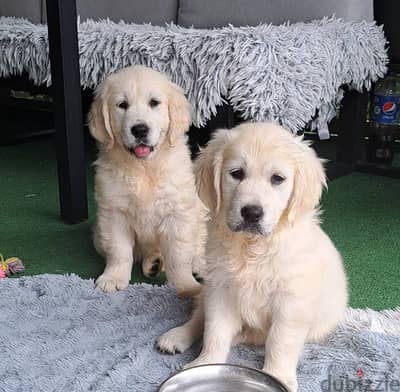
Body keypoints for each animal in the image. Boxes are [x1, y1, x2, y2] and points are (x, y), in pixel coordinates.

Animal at [89, 66, 205, 296]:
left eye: (154, 102)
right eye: (122, 105)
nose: (140, 129)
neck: (144, 169)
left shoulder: (177, 213)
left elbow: (179, 257)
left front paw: (186, 286)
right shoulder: (114, 213)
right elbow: (119, 250)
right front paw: (113, 278)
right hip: (97, 234)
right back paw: (153, 263)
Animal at [158, 122, 348, 392]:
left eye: (277, 179)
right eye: (236, 173)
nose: (252, 213)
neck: (252, 247)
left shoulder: (290, 302)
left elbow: (280, 341)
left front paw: (278, 376)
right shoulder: (220, 290)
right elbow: (214, 331)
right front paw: (206, 362)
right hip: (207, 292)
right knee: (198, 318)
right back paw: (176, 337)